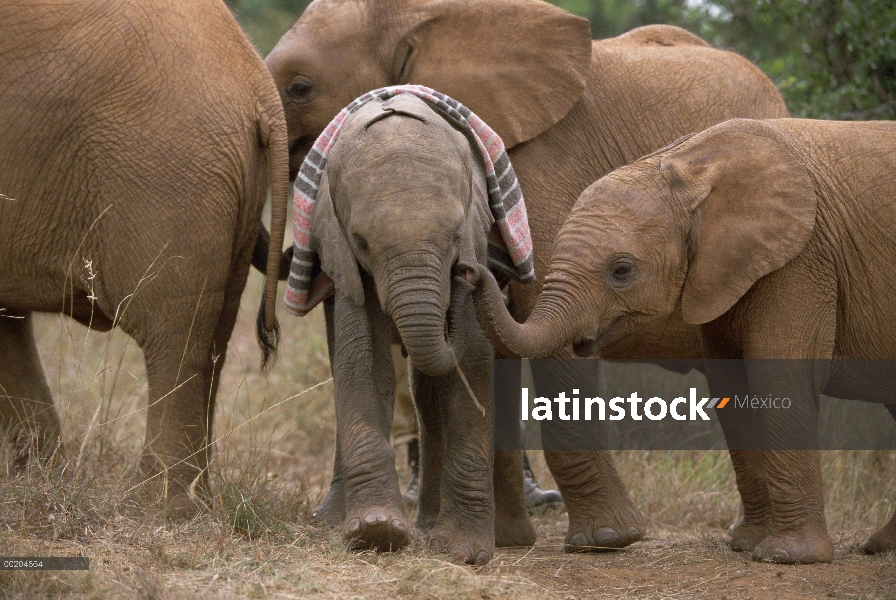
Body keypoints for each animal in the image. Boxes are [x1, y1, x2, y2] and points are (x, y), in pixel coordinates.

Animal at [0, 0, 288, 516]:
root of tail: (260, 88)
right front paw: (35, 480)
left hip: (169, 173)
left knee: (175, 339)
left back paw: (157, 505)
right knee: (213, 338)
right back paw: (189, 499)